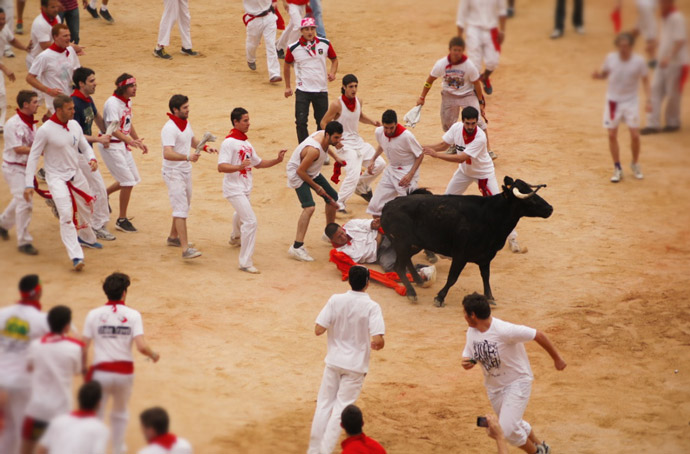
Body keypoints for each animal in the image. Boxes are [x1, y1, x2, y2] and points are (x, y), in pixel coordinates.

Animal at [378, 176, 552, 306]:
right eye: (529, 199)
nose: (550, 208)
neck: (490, 215)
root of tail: (387, 206)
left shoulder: (486, 256)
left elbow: (486, 276)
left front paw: (490, 297)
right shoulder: (460, 255)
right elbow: (452, 278)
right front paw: (439, 298)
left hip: (413, 245)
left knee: (406, 261)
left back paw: (419, 281)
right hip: (402, 243)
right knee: (399, 266)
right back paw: (412, 293)